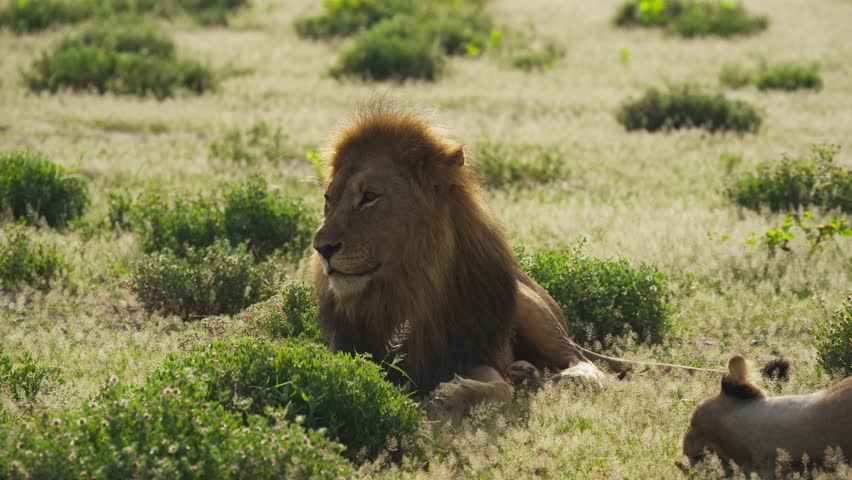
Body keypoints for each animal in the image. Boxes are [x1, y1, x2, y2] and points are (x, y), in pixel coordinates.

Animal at [312, 103, 721, 414]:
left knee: (584, 363)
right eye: (329, 200)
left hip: (531, 311)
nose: (321, 247)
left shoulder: (473, 350)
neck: (407, 290)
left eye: (369, 197)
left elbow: (499, 389)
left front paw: (449, 396)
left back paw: (560, 377)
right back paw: (528, 372)